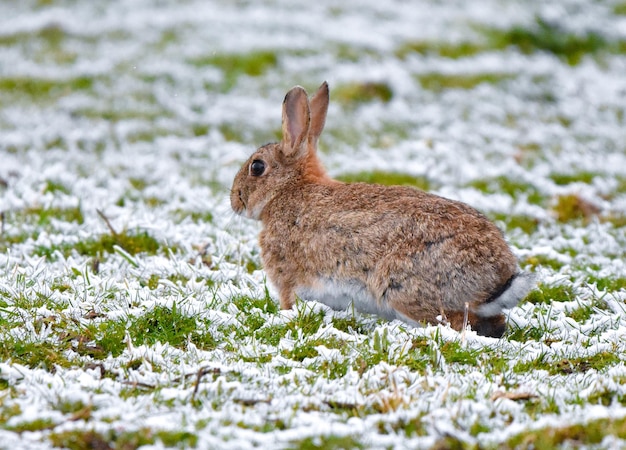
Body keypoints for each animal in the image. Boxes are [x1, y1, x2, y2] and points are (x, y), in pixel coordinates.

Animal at [232, 82, 532, 340]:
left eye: (256, 167)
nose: (235, 201)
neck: (287, 190)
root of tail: (498, 279)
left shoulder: (288, 281)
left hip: (402, 289)